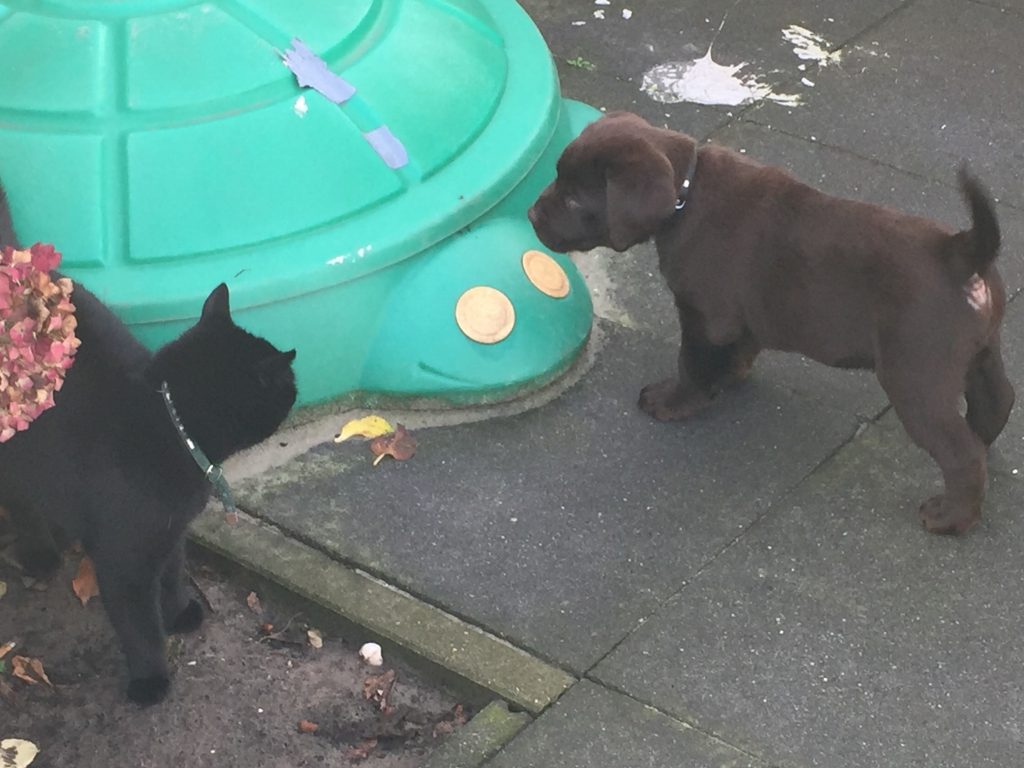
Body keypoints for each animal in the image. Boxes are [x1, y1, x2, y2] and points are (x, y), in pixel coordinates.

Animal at [0, 185, 296, 704]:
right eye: (288, 384)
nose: (300, 386)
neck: (169, 421)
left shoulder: (171, 532)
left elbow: (173, 575)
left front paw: (180, 613)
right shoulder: (124, 559)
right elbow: (139, 626)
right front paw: (150, 680)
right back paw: (40, 554)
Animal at [532, 112, 1011, 536]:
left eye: (574, 200)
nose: (533, 215)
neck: (687, 193)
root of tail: (959, 251)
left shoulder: (704, 316)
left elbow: (691, 363)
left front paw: (674, 402)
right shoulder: (735, 321)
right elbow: (739, 348)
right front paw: (728, 375)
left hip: (914, 376)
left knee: (960, 452)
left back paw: (951, 517)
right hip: (981, 353)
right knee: (996, 404)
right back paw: (984, 447)